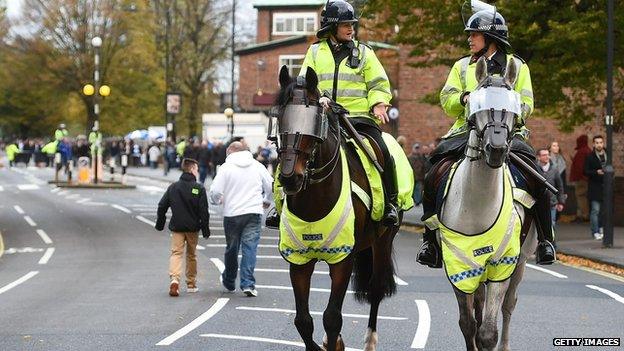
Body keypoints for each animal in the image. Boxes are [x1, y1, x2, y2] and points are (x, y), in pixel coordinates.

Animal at [276, 64, 402, 350]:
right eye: (279, 118)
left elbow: (332, 317)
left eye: (313, 121)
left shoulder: (343, 259)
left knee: (376, 289)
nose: (289, 177)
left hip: (383, 240)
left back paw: (370, 340)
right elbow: (303, 321)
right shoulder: (299, 261)